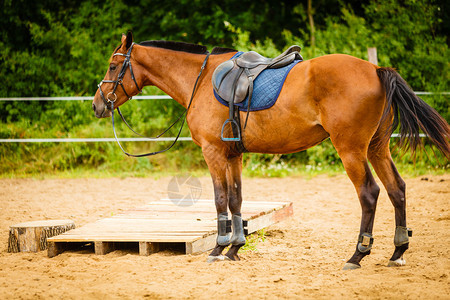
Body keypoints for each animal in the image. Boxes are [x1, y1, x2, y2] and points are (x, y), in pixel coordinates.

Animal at [93, 31, 448, 268]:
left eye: (112, 66)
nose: (97, 105)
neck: (201, 79)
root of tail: (375, 70)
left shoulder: (213, 153)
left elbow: (220, 199)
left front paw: (218, 249)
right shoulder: (233, 155)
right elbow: (236, 200)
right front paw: (235, 248)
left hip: (351, 150)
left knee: (370, 193)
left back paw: (358, 254)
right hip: (377, 148)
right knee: (397, 189)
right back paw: (398, 252)